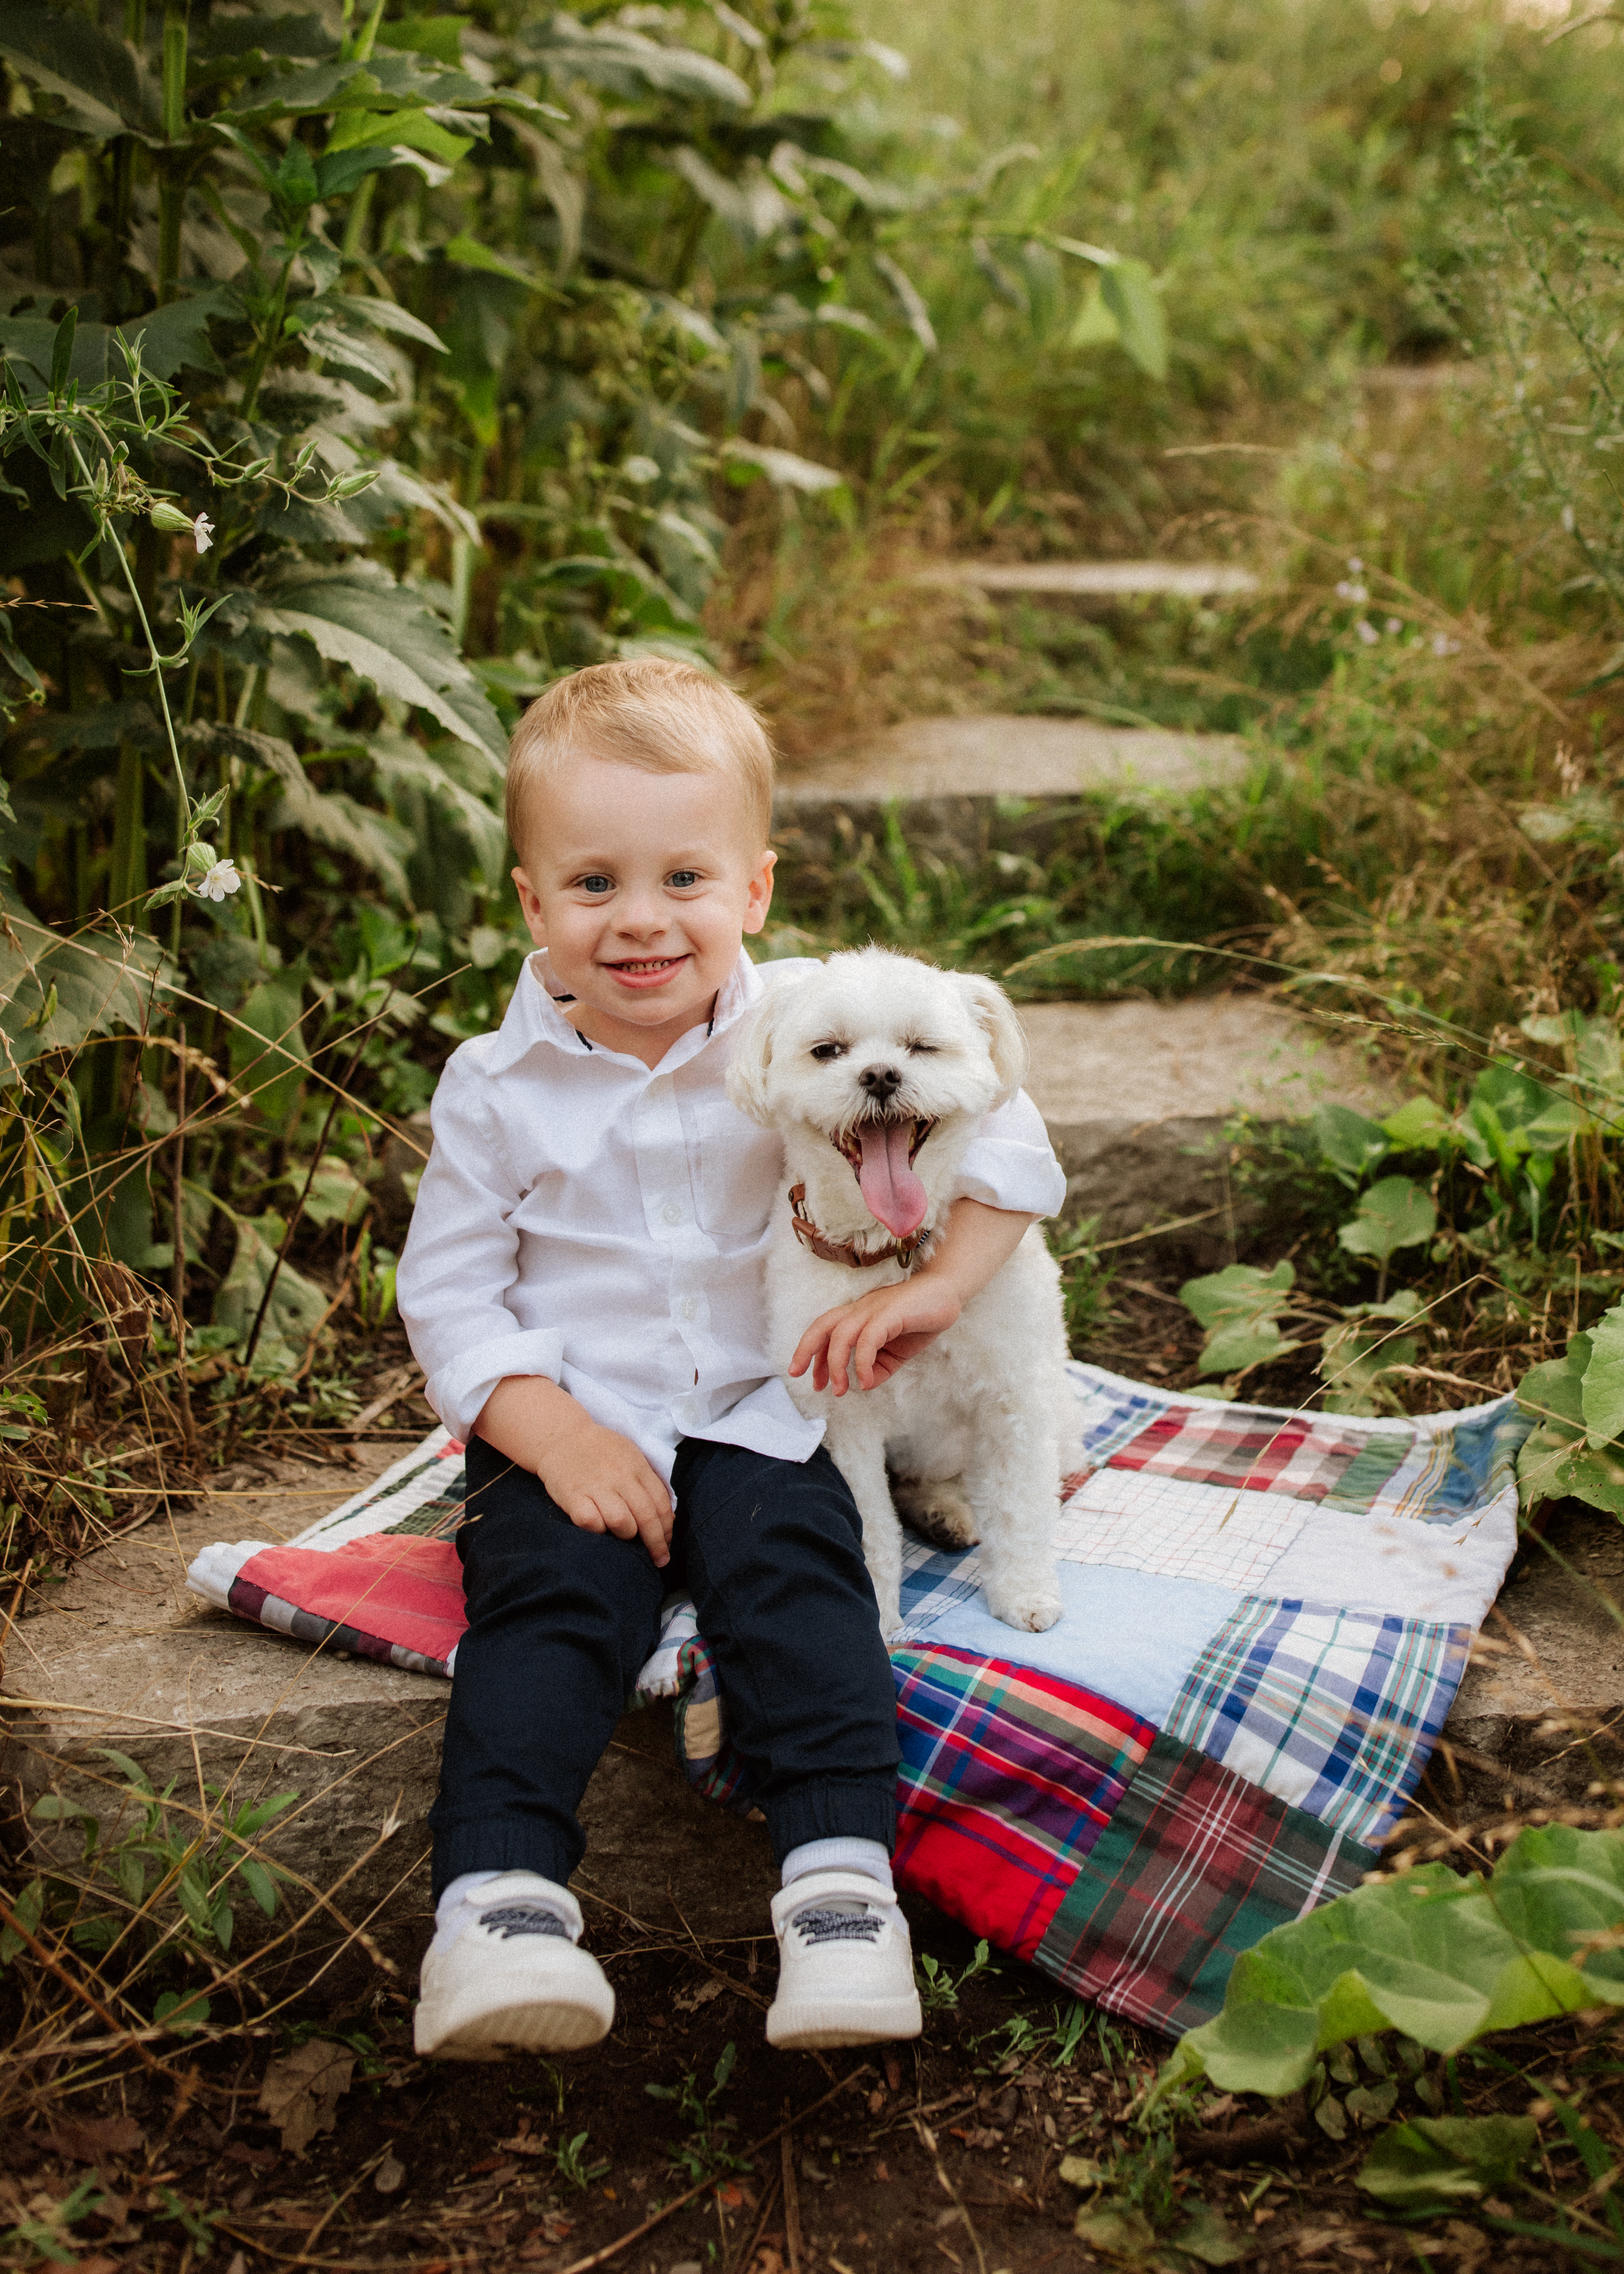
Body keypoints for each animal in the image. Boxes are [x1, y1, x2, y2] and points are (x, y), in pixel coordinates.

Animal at [732, 950, 1064, 1646]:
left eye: (922, 1047)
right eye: (827, 1050)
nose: (881, 1074)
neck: (887, 1253)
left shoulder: (1013, 1398)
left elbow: (1019, 1505)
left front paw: (1024, 1592)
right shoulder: (843, 1420)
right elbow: (871, 1528)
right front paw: (881, 1616)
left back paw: (948, 1510)